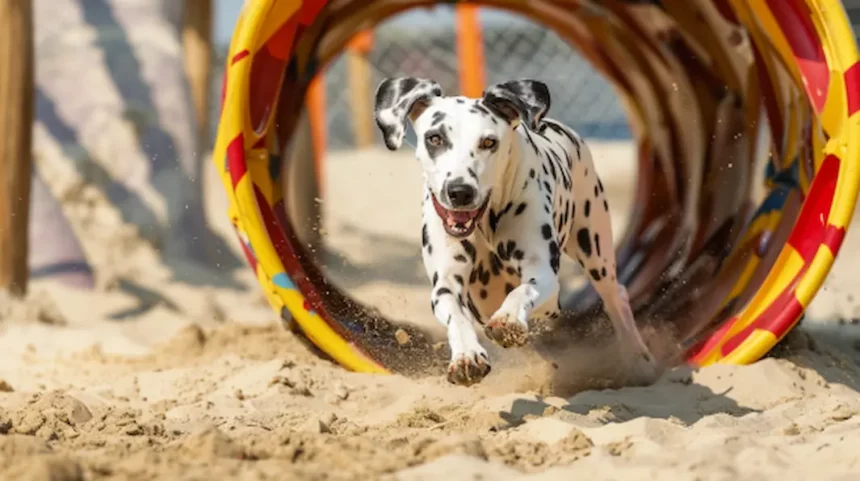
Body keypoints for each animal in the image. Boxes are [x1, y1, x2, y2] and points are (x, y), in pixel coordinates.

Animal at [372, 79, 660, 386]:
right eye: (435, 138)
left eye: (488, 142)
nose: (460, 191)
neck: (486, 221)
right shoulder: (446, 282)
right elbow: (456, 315)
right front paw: (467, 356)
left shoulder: (544, 274)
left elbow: (524, 291)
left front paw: (509, 319)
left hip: (593, 248)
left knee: (616, 296)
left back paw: (639, 360)